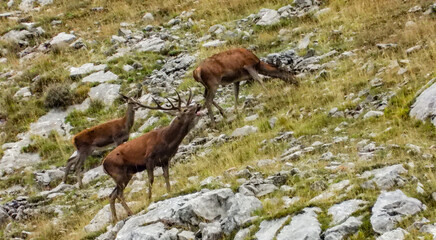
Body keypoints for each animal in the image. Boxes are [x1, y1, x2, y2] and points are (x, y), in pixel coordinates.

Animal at [103, 91, 204, 222]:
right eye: (185, 110)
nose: (198, 104)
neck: (167, 141)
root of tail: (103, 165)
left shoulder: (165, 160)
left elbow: (166, 176)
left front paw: (169, 192)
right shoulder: (149, 159)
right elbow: (151, 179)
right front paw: (149, 198)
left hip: (126, 174)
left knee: (112, 195)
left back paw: (115, 219)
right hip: (119, 173)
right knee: (119, 194)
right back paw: (130, 213)